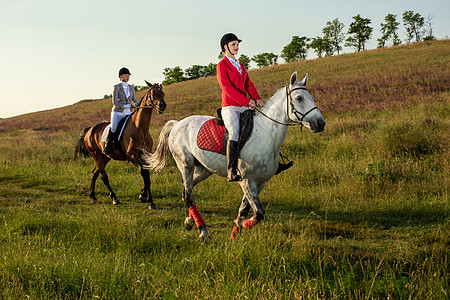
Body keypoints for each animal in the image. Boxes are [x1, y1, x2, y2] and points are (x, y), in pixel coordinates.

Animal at [146, 72, 326, 239]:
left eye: (311, 97)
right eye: (299, 98)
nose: (320, 123)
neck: (265, 134)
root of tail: (177, 124)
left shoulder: (260, 182)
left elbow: (244, 209)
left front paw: (236, 231)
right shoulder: (246, 180)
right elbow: (258, 213)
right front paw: (244, 225)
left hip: (204, 169)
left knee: (186, 189)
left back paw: (190, 221)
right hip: (185, 164)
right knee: (189, 194)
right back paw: (203, 230)